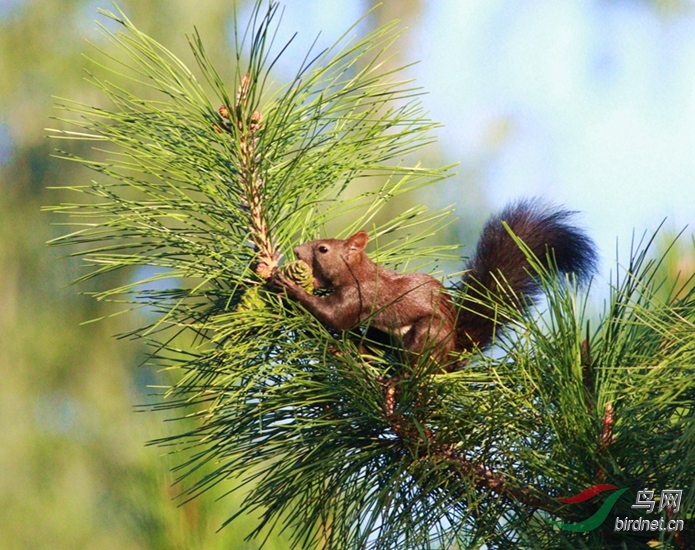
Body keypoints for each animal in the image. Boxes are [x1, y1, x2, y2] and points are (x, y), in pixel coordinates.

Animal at [272, 198, 600, 366]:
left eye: (322, 249)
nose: (296, 251)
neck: (360, 273)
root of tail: (453, 349)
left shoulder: (360, 296)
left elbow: (335, 317)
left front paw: (288, 285)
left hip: (426, 333)